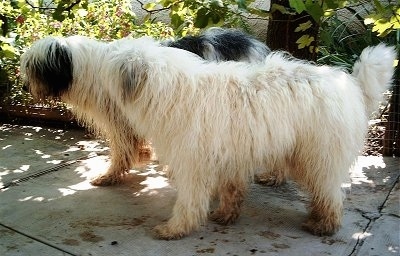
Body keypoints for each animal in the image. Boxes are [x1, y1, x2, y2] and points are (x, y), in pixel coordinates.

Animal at [20, 36, 396, 240]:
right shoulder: (230, 154)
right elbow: (231, 190)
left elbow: (189, 200)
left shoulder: (193, 160)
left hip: (318, 153)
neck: (169, 87)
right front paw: (226, 215)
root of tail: (349, 82)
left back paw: (325, 224)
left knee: (330, 193)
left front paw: (175, 228)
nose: (23, 85)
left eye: (112, 64)